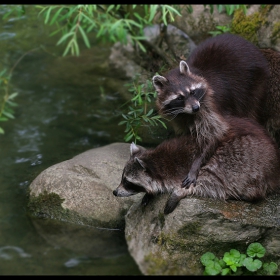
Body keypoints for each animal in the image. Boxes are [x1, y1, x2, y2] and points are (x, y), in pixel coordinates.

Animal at [112, 116, 280, 214]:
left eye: (128, 182)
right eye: (122, 178)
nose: (114, 192)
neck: (158, 161)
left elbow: (210, 182)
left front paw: (179, 191)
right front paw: (149, 193)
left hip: (249, 156)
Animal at [153, 34, 272, 189]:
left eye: (193, 92)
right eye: (179, 98)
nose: (195, 108)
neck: (187, 113)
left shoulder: (209, 106)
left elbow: (215, 133)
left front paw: (196, 163)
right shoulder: (179, 115)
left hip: (256, 82)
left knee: (250, 108)